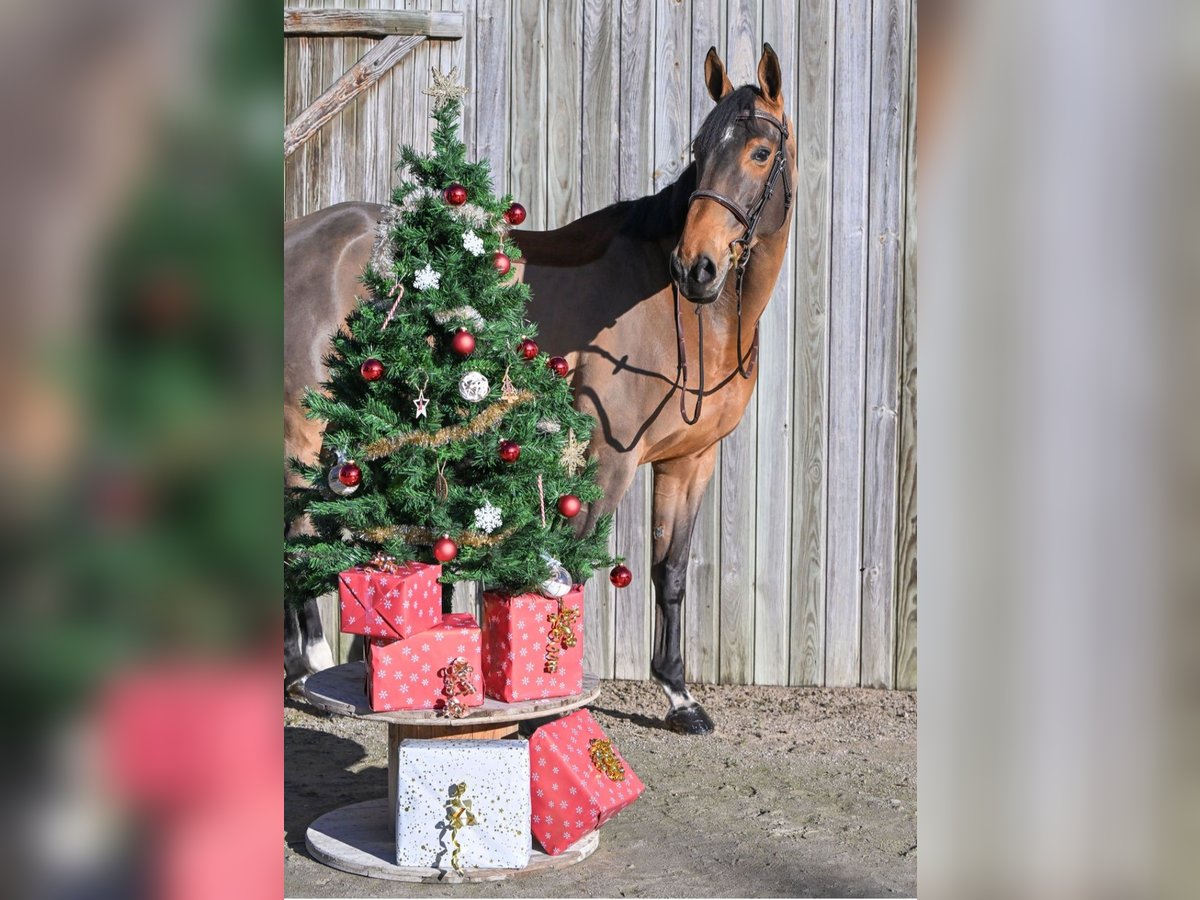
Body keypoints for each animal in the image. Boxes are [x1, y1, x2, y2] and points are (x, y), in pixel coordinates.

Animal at [284, 44, 795, 734]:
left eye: (760, 152)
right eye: (700, 149)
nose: (697, 267)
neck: (684, 314)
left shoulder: (691, 459)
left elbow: (671, 571)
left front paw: (679, 695)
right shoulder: (607, 458)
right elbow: (569, 567)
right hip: (307, 430)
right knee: (297, 530)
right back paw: (309, 666)